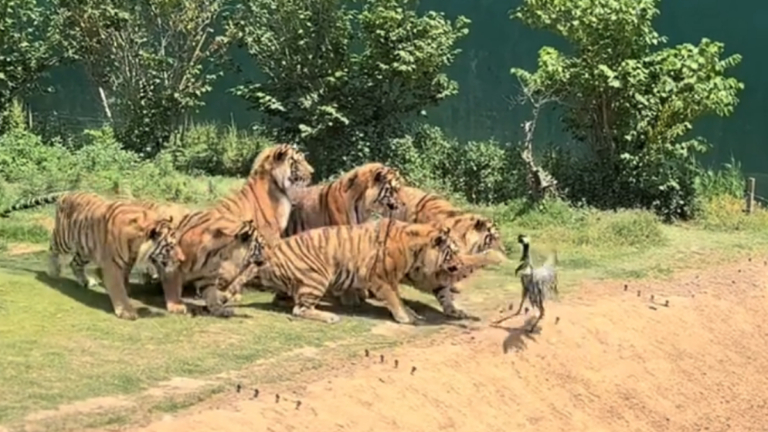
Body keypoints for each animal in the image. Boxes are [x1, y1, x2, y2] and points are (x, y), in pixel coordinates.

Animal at [0, 191, 184, 320]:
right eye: (170, 246)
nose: (182, 259)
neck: (136, 246)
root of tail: (67, 193)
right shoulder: (112, 265)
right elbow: (118, 288)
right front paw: (126, 311)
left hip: (86, 249)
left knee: (75, 263)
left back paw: (86, 281)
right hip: (64, 239)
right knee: (52, 247)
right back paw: (53, 271)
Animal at [220, 218, 497, 325]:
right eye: (452, 252)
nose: (459, 264)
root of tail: (268, 253)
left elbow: (439, 296)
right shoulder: (382, 278)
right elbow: (395, 299)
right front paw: (406, 317)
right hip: (319, 275)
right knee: (300, 309)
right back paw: (330, 316)